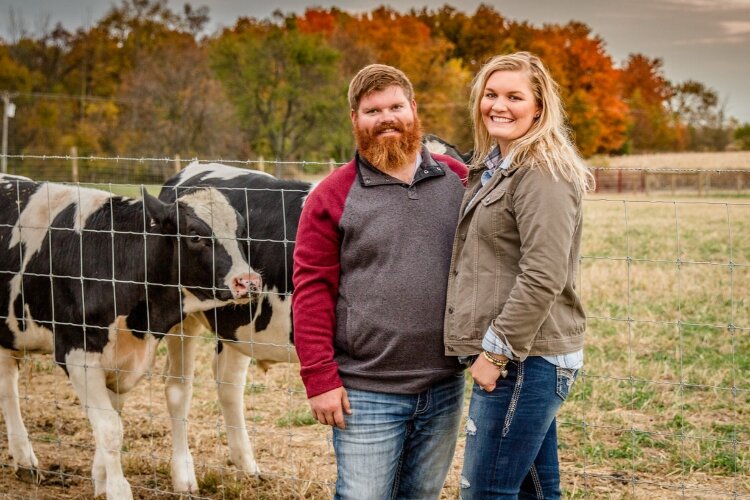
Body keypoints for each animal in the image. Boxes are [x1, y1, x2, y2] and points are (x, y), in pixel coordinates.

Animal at [0, 174, 262, 498]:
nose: (248, 282)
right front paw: (117, 488)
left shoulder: (123, 360)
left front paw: (101, 481)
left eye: (241, 233)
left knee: (7, 384)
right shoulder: (78, 354)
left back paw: (24, 461)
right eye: (194, 235)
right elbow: (110, 429)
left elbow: (112, 418)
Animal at [159, 163, 312, 492]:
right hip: (181, 317)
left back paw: (247, 465)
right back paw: (184, 477)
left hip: (240, 330)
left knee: (228, 385)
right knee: (178, 388)